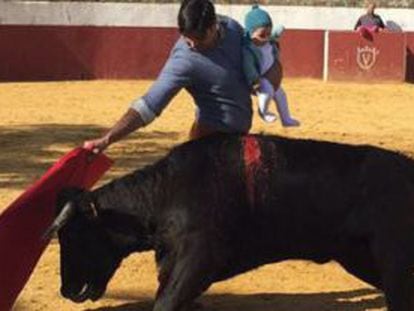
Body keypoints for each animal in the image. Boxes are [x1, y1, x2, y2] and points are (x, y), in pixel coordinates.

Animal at [47, 135, 414, 311]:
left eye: (76, 236)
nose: (67, 291)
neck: (166, 191)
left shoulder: (198, 258)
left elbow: (165, 303)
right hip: (361, 259)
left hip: (394, 262)